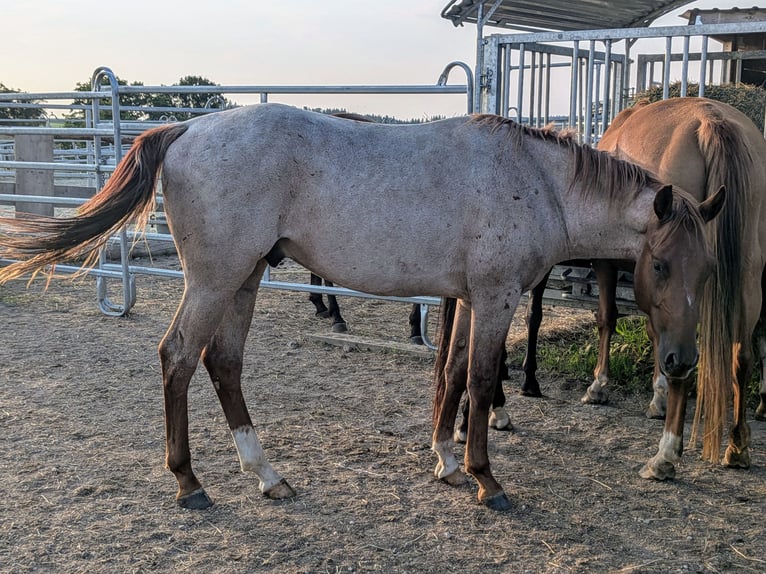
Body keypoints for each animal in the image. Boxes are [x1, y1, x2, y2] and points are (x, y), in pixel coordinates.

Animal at [0, 103, 722, 511]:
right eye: (659, 267)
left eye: (707, 270)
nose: (680, 363)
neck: (534, 179)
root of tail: (186, 129)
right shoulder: (495, 297)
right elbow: (482, 380)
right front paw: (485, 479)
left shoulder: (467, 298)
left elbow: (452, 375)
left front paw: (445, 461)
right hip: (214, 279)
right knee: (178, 356)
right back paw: (189, 483)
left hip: (245, 279)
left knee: (223, 362)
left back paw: (267, 475)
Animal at [521, 97, 766, 474]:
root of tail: (712, 122)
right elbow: (653, 333)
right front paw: (656, 394)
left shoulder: (608, 263)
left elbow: (608, 318)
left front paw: (600, 385)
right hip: (748, 274)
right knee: (742, 355)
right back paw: (737, 446)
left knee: (687, 362)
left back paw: (665, 455)